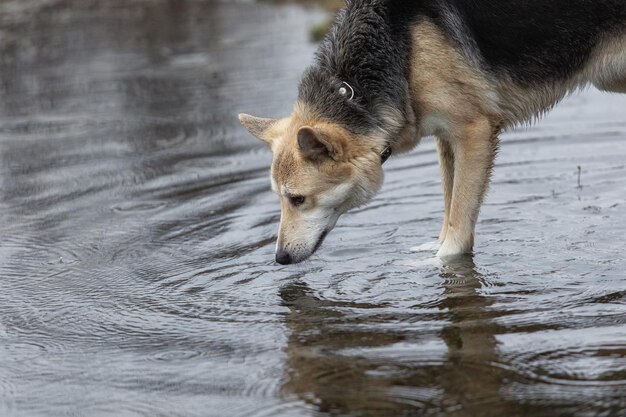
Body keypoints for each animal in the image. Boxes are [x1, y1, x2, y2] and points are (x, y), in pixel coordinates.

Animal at [238, 0, 624, 264]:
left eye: (297, 199)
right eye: (280, 198)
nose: (279, 259)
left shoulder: (474, 133)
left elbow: (457, 234)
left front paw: (432, 265)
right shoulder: (446, 139)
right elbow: (449, 215)